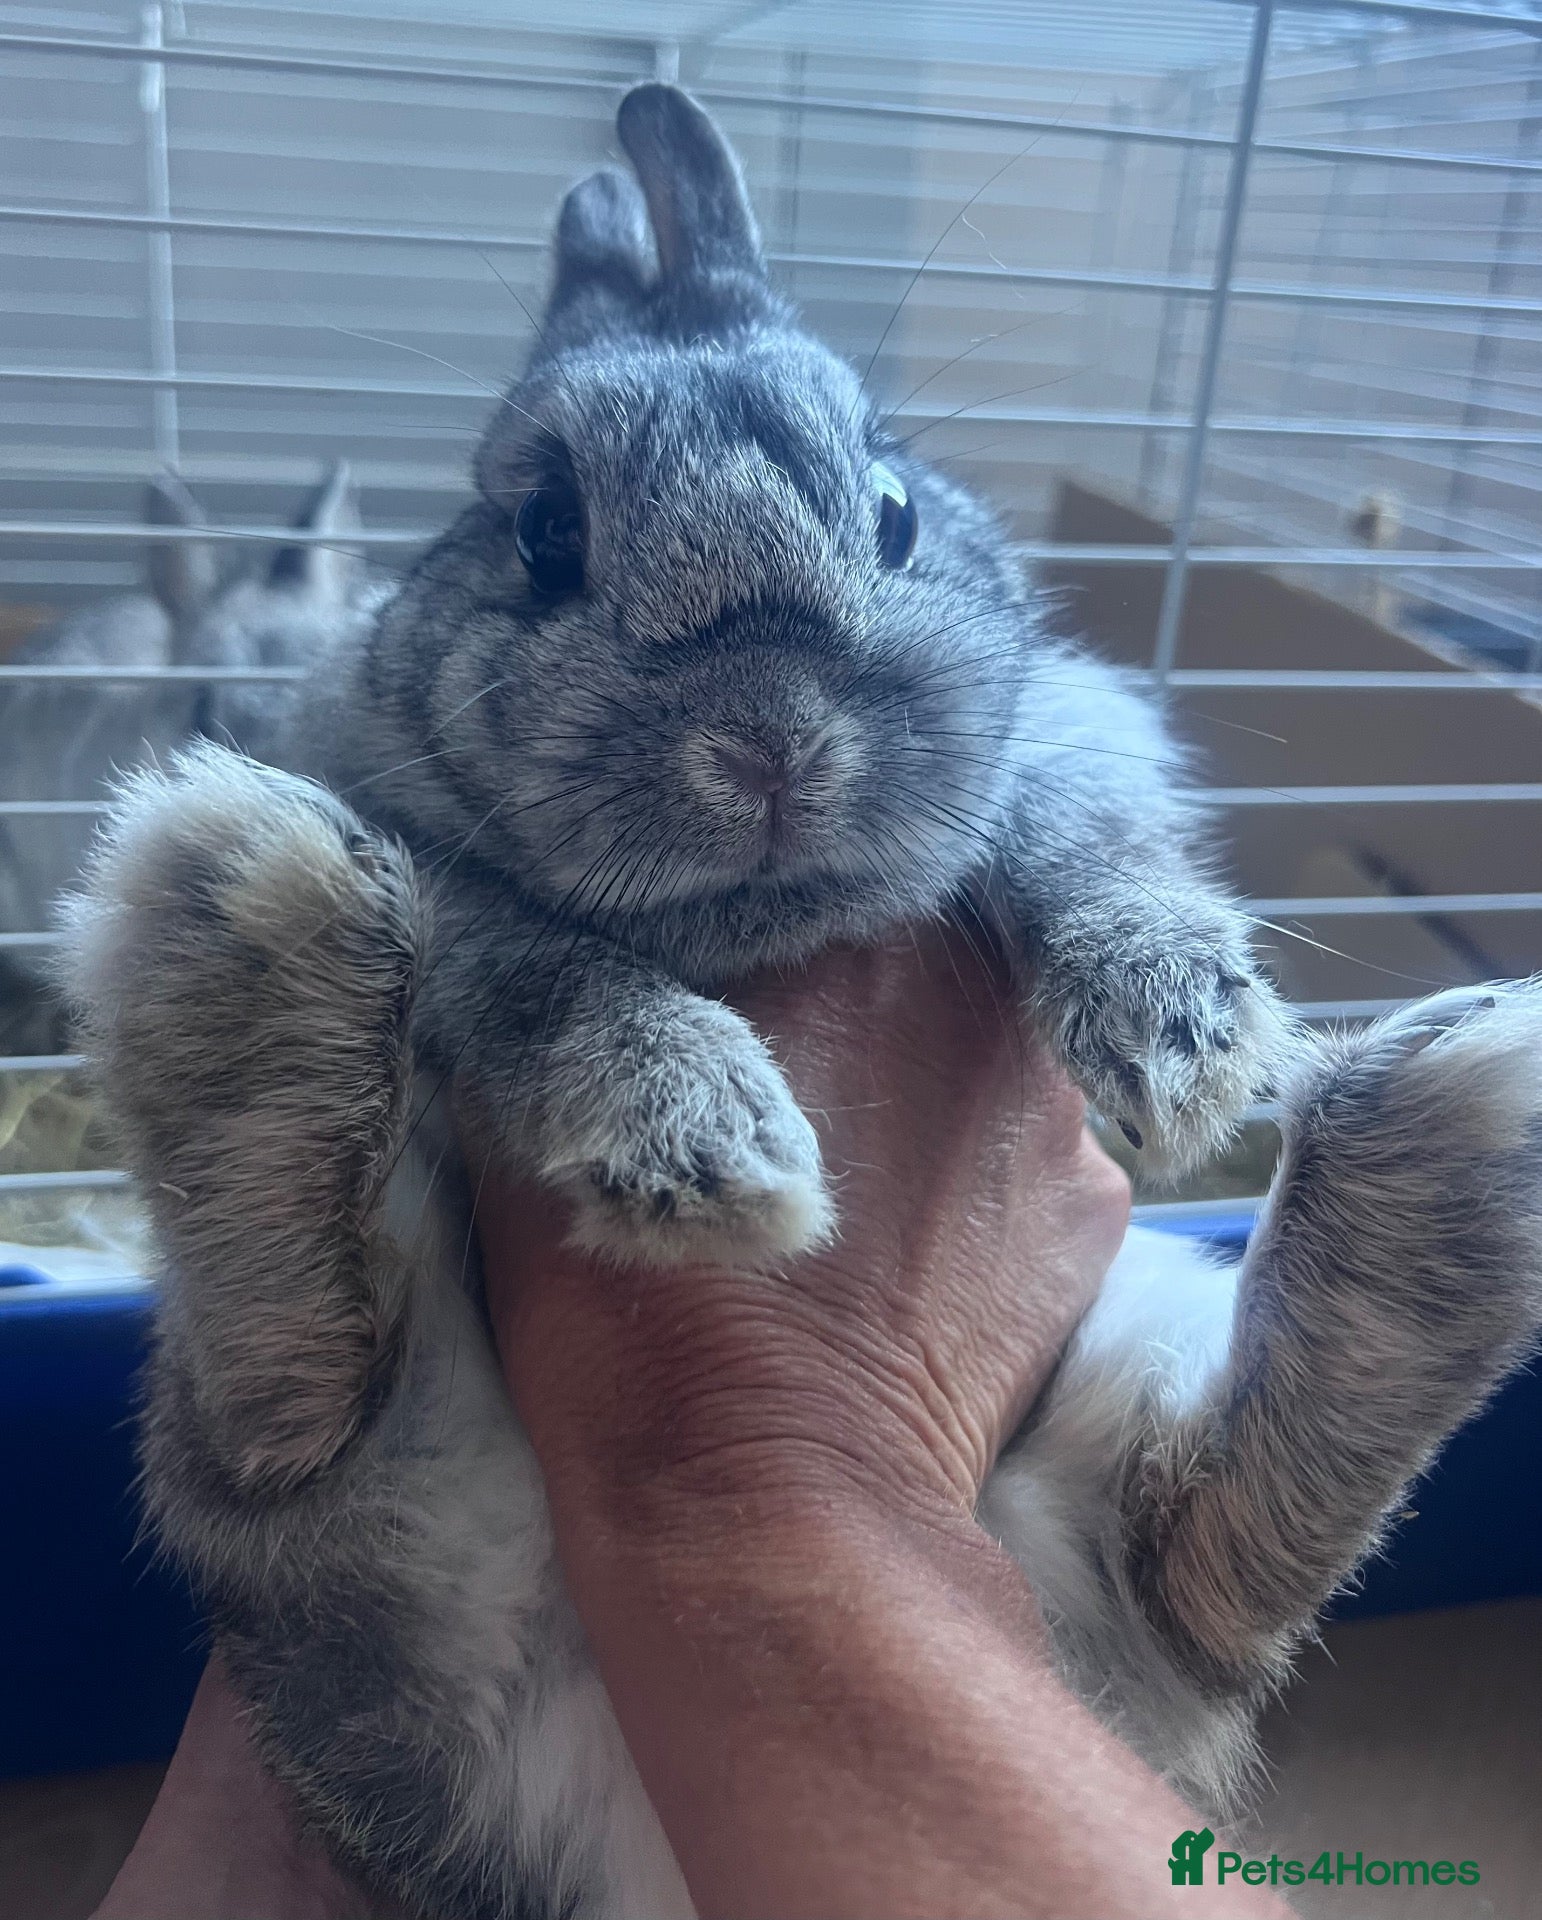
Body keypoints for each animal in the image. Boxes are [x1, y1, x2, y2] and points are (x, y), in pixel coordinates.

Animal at [59, 84, 1542, 1920]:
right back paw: (242, 912)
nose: (768, 741)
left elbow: (1081, 844)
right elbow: (553, 974)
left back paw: (1452, 1123)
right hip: (337, 1540)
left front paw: (1178, 1037)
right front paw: (710, 1148)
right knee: (286, 1414)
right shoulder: (455, 883)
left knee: (1202, 1556)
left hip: (1122, 1391)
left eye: (893, 511)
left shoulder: (1070, 737)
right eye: (545, 535)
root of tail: (608, 1833)